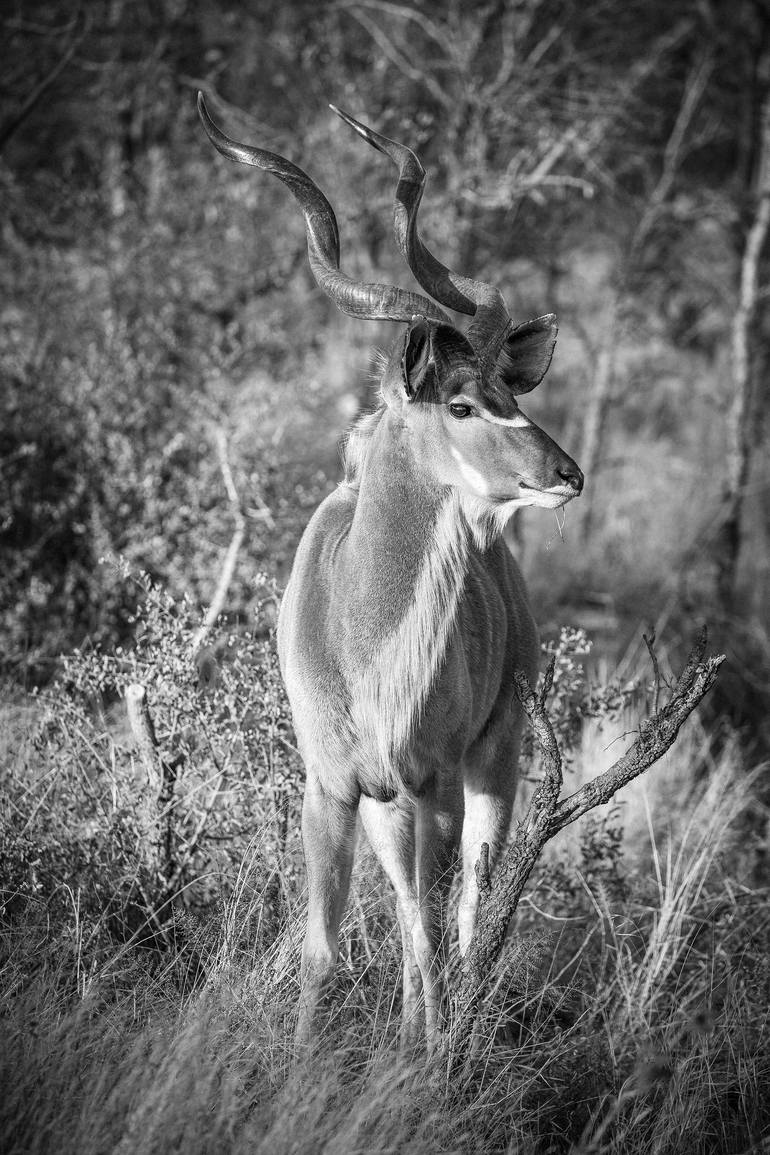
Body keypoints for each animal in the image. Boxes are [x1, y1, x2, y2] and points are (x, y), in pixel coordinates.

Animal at [198, 94, 584, 1053]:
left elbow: (435, 932)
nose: (567, 473)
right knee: (418, 912)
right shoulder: (332, 788)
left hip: (493, 759)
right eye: (463, 403)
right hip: (391, 805)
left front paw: (425, 1062)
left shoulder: (434, 778)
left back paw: (441, 1035)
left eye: (511, 392)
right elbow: (326, 944)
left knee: (463, 913)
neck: (364, 639)